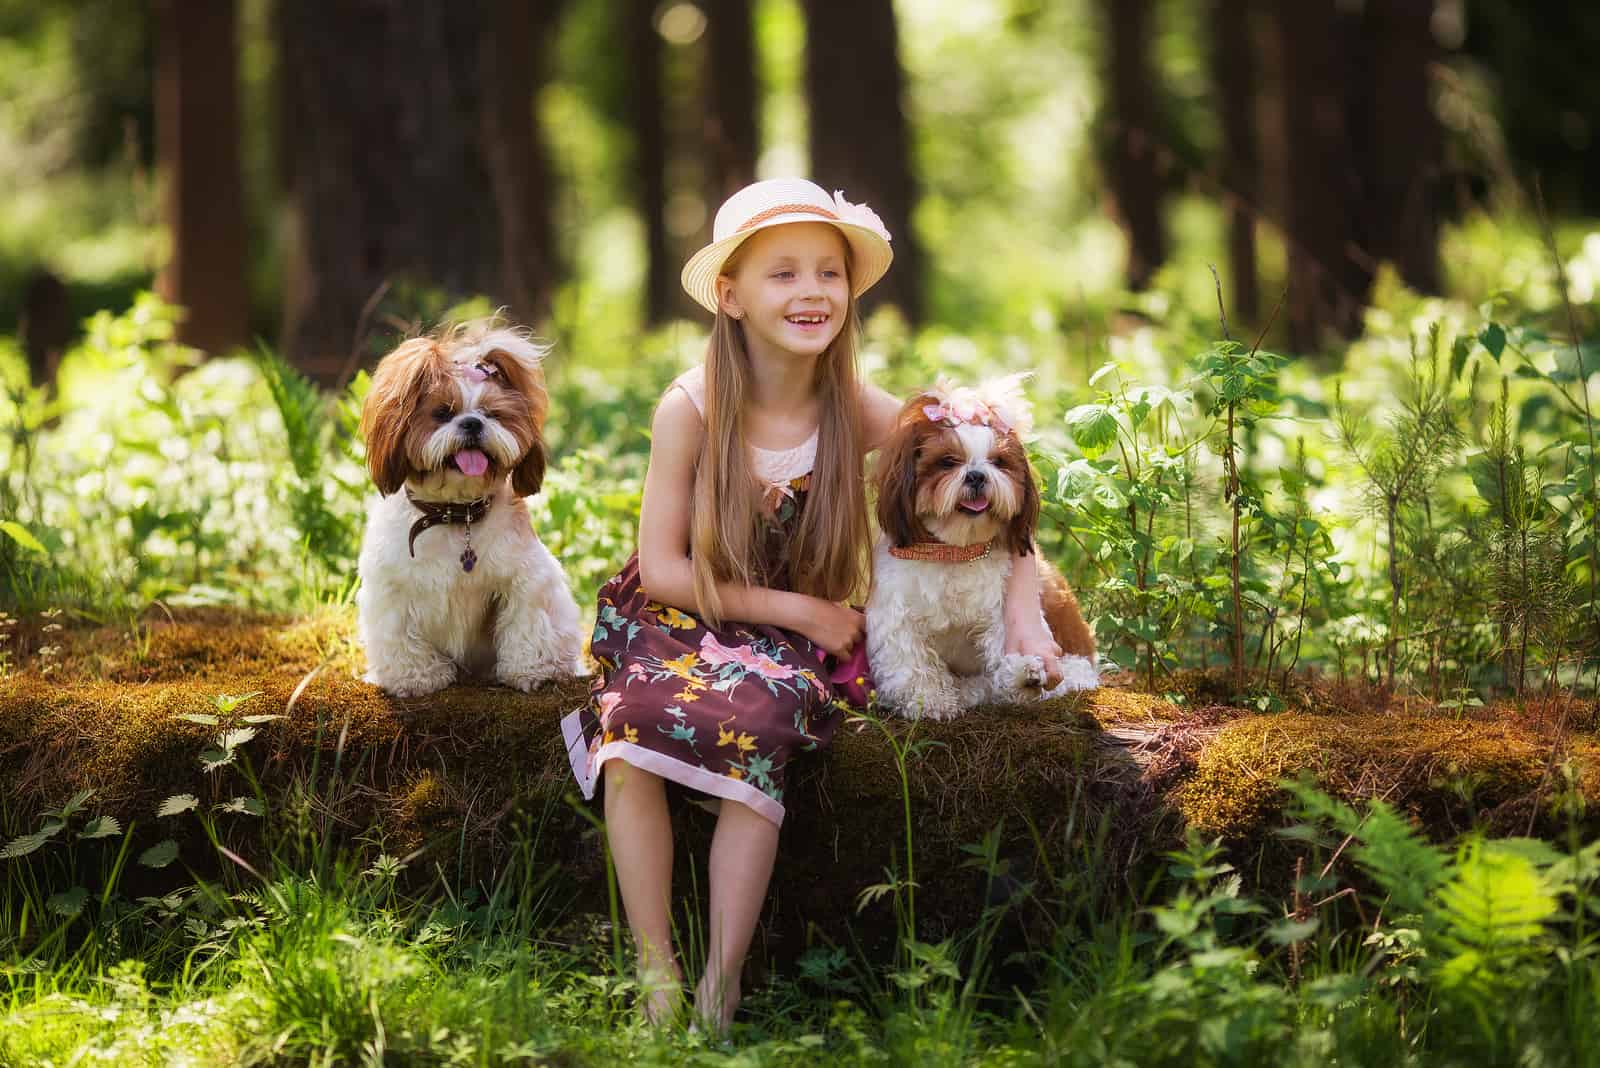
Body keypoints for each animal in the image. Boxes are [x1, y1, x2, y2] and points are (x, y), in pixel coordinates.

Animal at [353, 321, 585, 697]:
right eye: (443, 413)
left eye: (492, 414)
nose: (473, 423)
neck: (453, 514)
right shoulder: (390, 588)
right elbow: (400, 636)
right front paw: (415, 678)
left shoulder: (527, 578)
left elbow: (527, 621)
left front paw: (531, 671)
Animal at [864, 374, 1100, 716]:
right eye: (947, 462)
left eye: (998, 462)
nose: (976, 475)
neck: (954, 550)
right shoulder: (896, 615)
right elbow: (910, 662)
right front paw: (929, 699)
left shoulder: (1003, 610)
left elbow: (1005, 645)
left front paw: (1023, 676)